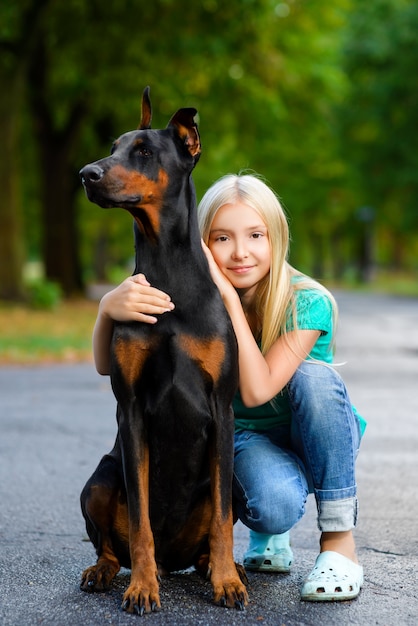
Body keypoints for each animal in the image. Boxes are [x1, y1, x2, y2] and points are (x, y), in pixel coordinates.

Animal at [79, 89, 248, 616]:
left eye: (144, 152)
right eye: (112, 146)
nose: (86, 174)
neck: (168, 274)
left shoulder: (221, 406)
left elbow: (220, 518)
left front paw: (226, 583)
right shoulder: (130, 408)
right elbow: (139, 521)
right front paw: (142, 587)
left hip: (236, 482)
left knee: (216, 526)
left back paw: (220, 569)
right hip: (99, 480)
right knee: (110, 544)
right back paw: (106, 572)